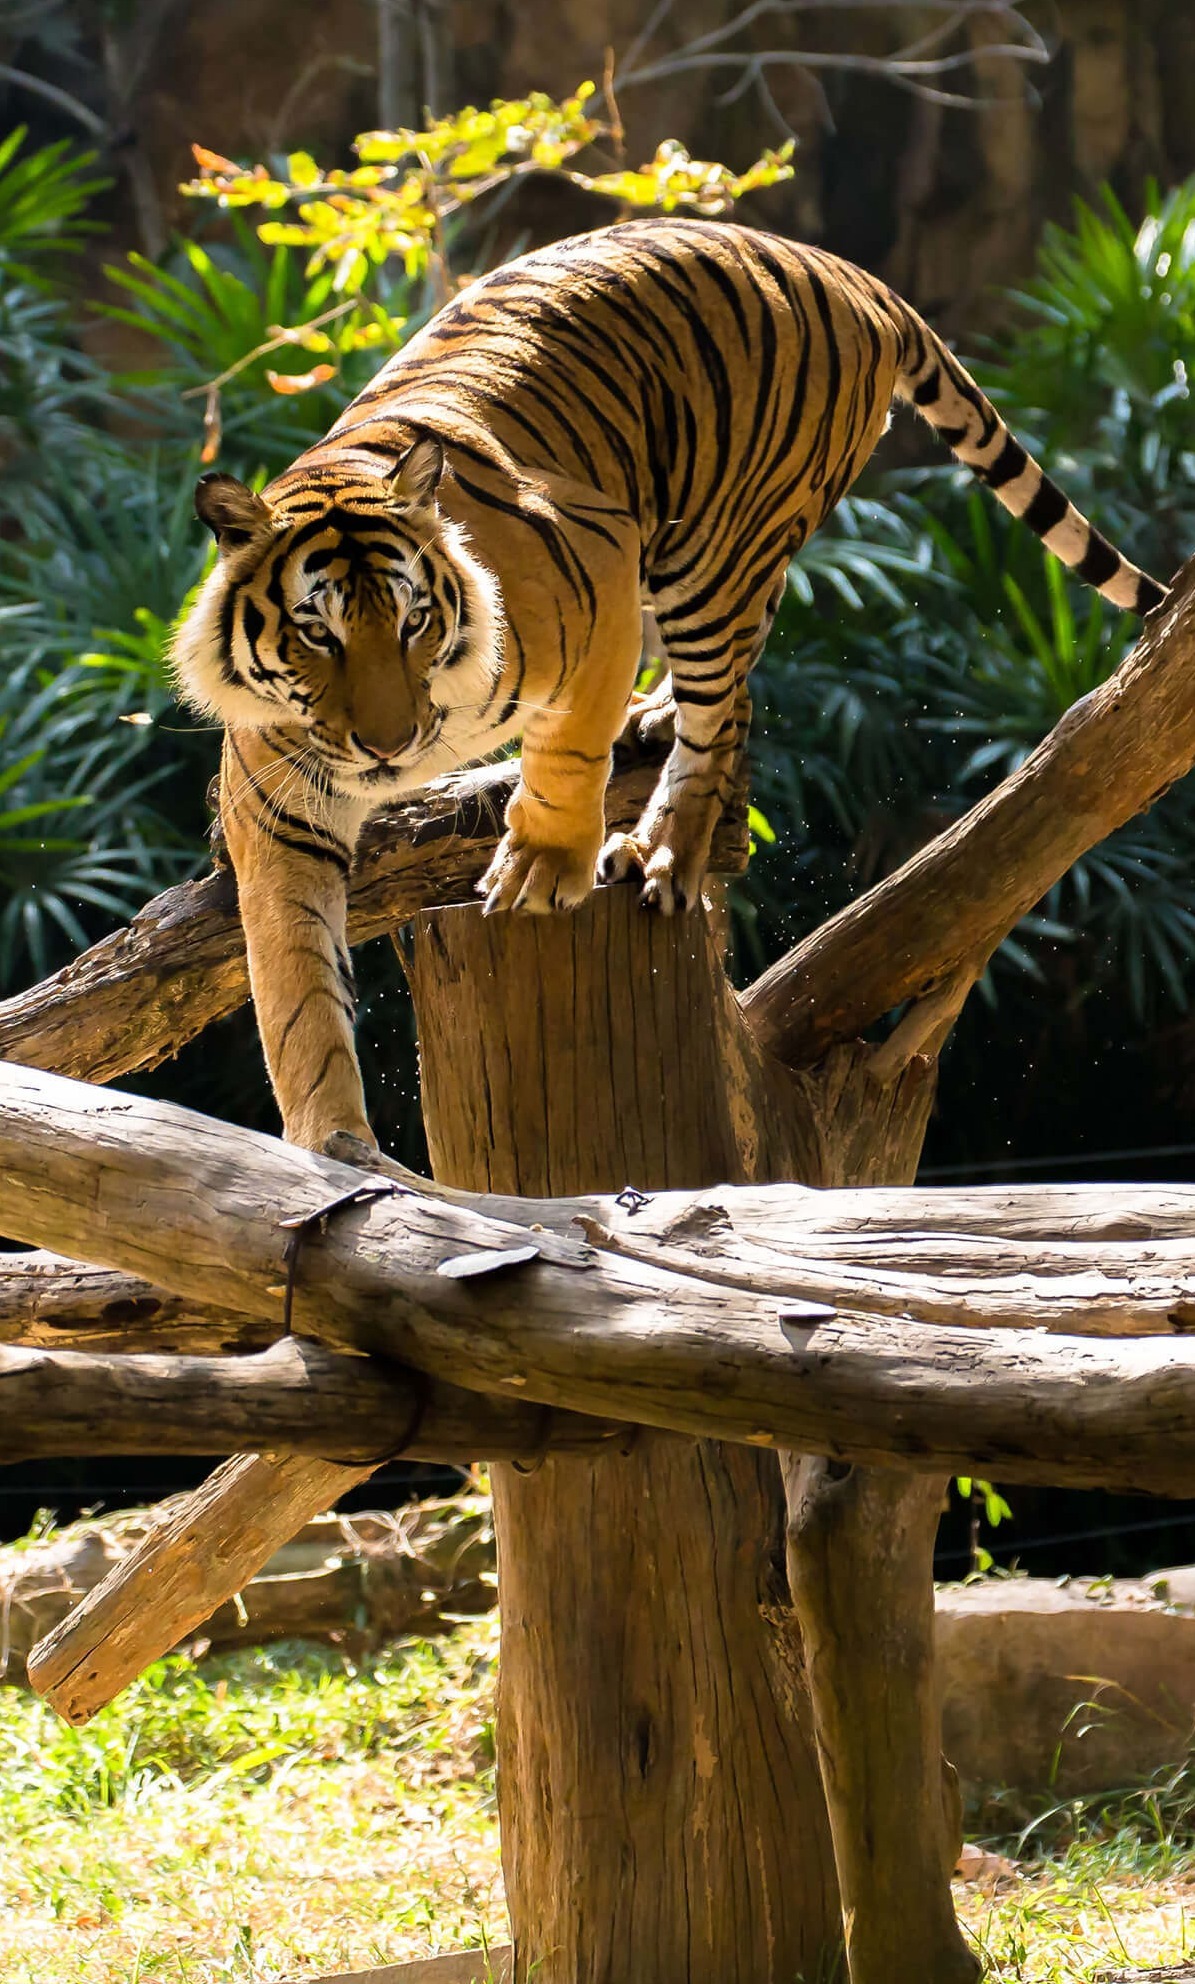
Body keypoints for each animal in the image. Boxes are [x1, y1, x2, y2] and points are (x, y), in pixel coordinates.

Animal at [172, 215, 1168, 1155]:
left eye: (413, 621)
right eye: (318, 633)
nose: (390, 746)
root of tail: (845, 268)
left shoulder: (600, 563)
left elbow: (570, 748)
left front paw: (541, 866)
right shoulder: (281, 815)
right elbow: (297, 988)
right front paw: (333, 1143)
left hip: (710, 554)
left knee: (723, 709)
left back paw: (661, 851)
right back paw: (651, 722)